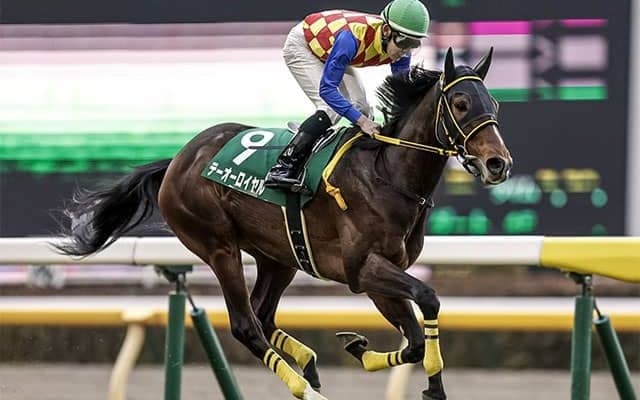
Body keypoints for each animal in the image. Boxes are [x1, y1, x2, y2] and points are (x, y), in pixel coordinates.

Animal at [55, 48, 512, 400]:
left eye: (494, 105)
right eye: (461, 105)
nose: (498, 163)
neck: (386, 173)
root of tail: (178, 161)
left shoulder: (380, 275)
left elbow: (416, 339)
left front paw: (366, 351)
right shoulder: (363, 268)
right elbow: (428, 298)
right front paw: (427, 382)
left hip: (280, 255)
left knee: (263, 314)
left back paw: (307, 363)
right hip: (218, 246)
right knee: (246, 325)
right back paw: (304, 388)